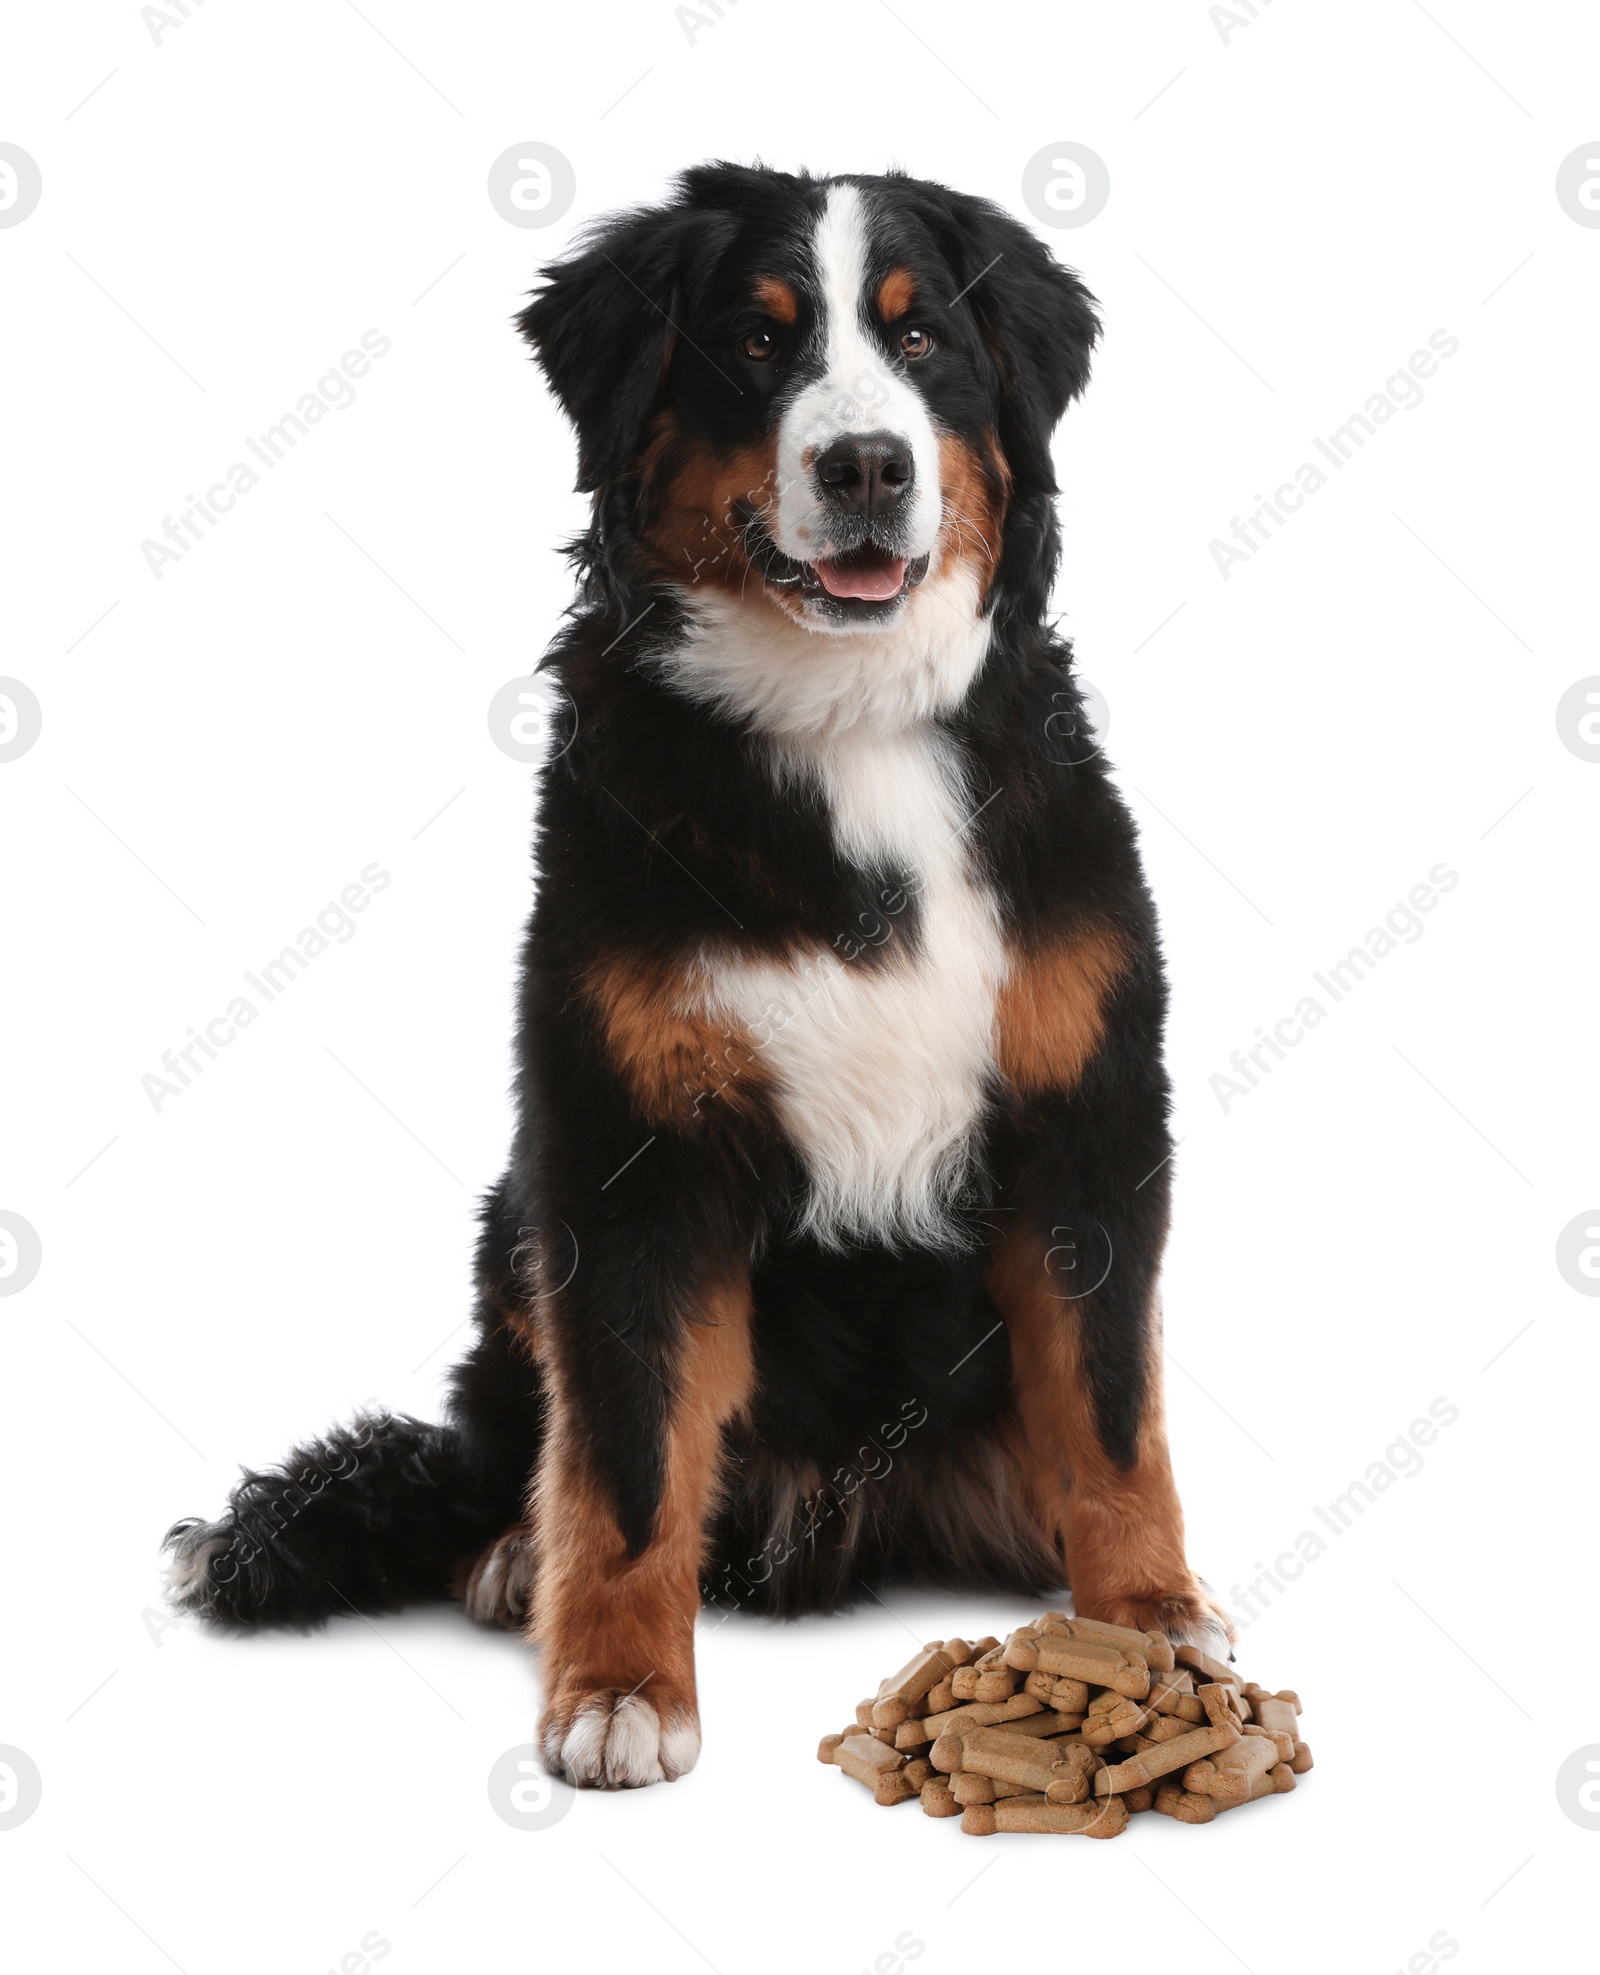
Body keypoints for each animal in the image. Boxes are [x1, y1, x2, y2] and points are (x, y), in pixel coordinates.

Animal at [164, 158, 1224, 1793]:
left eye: (922, 340)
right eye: (756, 341)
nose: (865, 465)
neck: (850, 731)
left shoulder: (1087, 1117)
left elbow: (1113, 1420)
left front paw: (1152, 1626)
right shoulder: (628, 1151)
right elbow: (627, 1457)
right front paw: (614, 1686)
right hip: (511, 1219)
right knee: (521, 1450)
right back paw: (511, 1557)